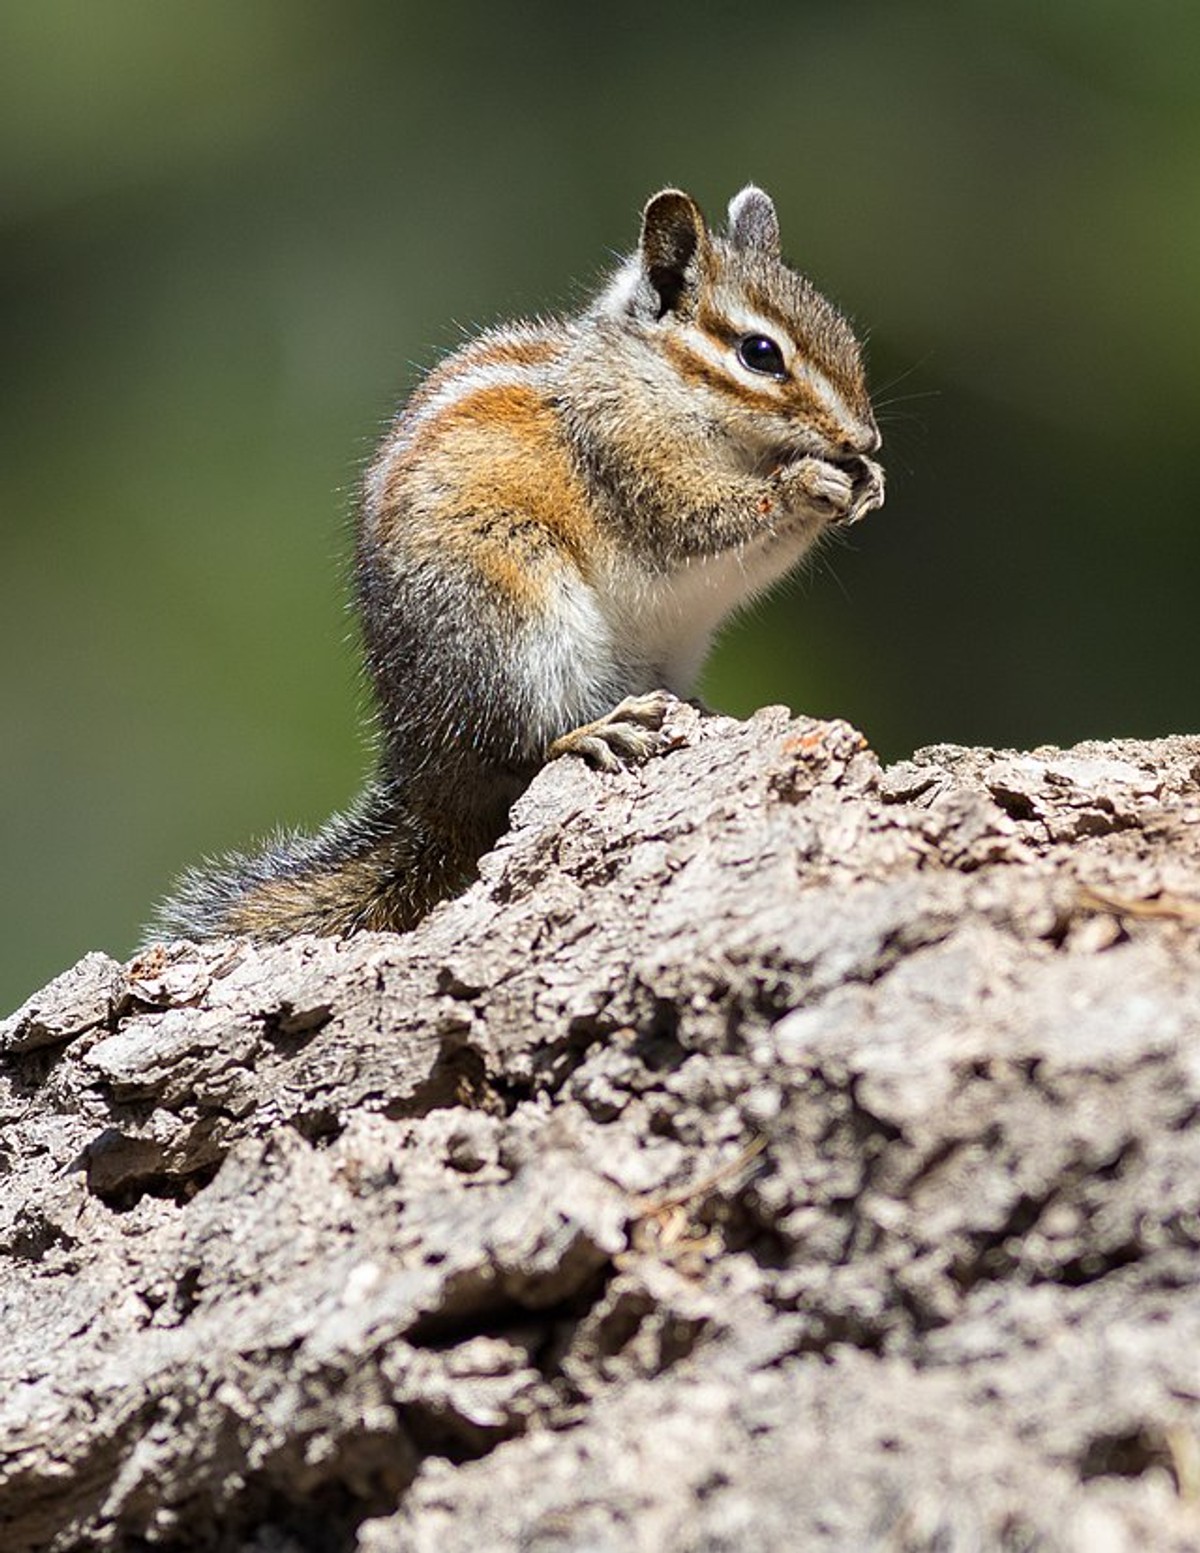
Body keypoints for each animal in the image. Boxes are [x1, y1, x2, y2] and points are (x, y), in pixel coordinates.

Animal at [152, 184, 884, 943]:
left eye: (839, 327)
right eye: (760, 353)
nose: (864, 438)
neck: (655, 380)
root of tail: (430, 790)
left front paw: (867, 481)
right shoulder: (627, 457)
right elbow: (700, 521)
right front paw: (808, 483)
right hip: (510, 614)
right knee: (519, 749)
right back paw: (591, 731)